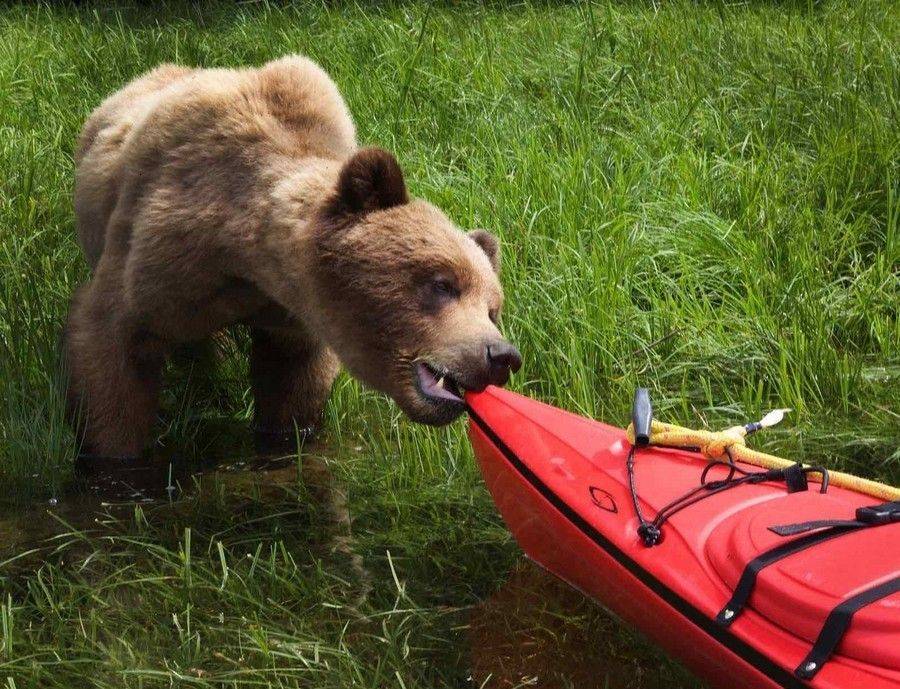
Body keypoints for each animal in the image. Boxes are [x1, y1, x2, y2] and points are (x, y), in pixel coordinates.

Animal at [67, 56, 520, 460]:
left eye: (492, 308)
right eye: (442, 284)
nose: (501, 355)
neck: (246, 260)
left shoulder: (293, 319)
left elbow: (291, 387)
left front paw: (285, 436)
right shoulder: (162, 258)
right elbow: (112, 349)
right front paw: (113, 455)